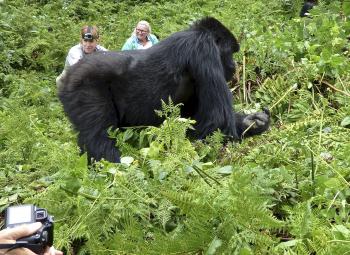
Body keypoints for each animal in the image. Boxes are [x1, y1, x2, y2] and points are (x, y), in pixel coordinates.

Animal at [58, 16, 270, 163]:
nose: (234, 66)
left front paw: (254, 121)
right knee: (99, 138)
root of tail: (65, 77)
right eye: (230, 52)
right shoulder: (204, 50)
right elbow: (217, 120)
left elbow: (192, 117)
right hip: (83, 86)